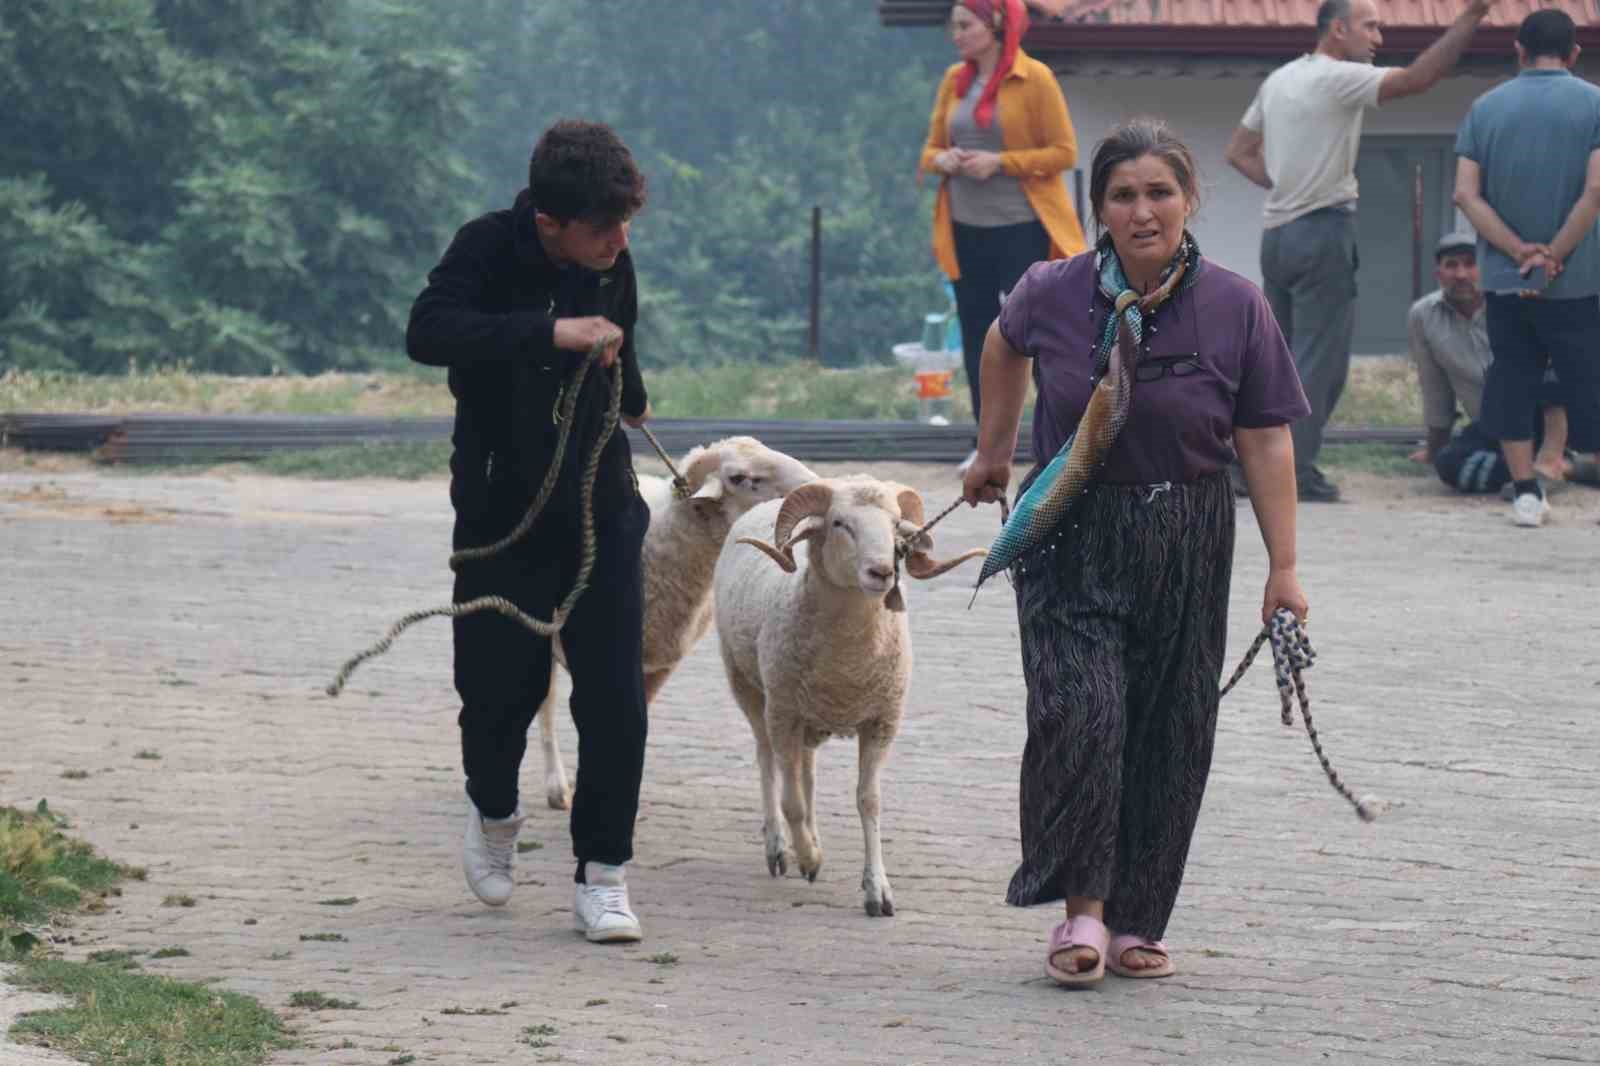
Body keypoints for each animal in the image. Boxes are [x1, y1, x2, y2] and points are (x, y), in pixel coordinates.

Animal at [716, 473, 985, 915]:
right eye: (839, 523)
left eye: (896, 525)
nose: (882, 572)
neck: (846, 665)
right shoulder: (782, 713)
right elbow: (790, 800)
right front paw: (808, 857)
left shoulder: (882, 721)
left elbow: (868, 800)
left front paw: (877, 889)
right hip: (749, 688)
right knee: (769, 764)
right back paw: (780, 847)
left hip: (806, 717)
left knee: (804, 772)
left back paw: (811, 839)